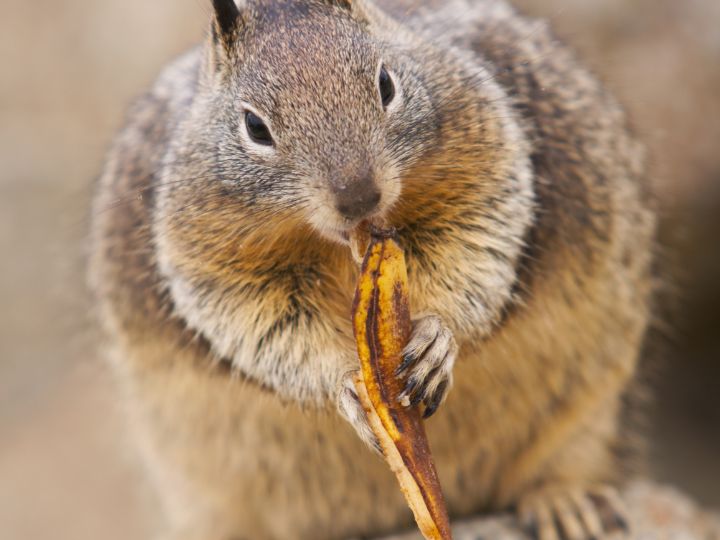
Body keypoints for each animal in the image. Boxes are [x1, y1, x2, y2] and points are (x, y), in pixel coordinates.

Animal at [87, 1, 656, 540]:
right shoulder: (208, 261)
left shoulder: (489, 169)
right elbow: (265, 327)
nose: (359, 196)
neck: (343, 247)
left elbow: (474, 254)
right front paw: (346, 388)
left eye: (386, 84)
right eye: (255, 127)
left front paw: (435, 341)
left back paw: (569, 505)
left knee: (567, 464)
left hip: (593, 408)